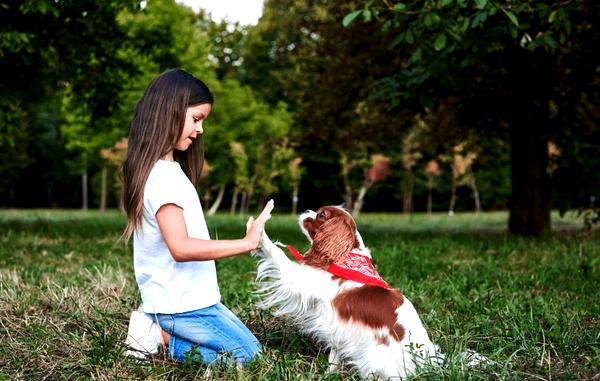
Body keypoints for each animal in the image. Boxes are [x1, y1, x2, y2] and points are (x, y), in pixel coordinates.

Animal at [251, 206, 442, 378]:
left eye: (321, 214)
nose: (306, 210)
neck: (345, 256)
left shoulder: (297, 280)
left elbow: (276, 253)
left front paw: (260, 234)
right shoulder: (340, 330)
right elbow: (335, 355)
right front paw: (329, 373)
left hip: (375, 357)